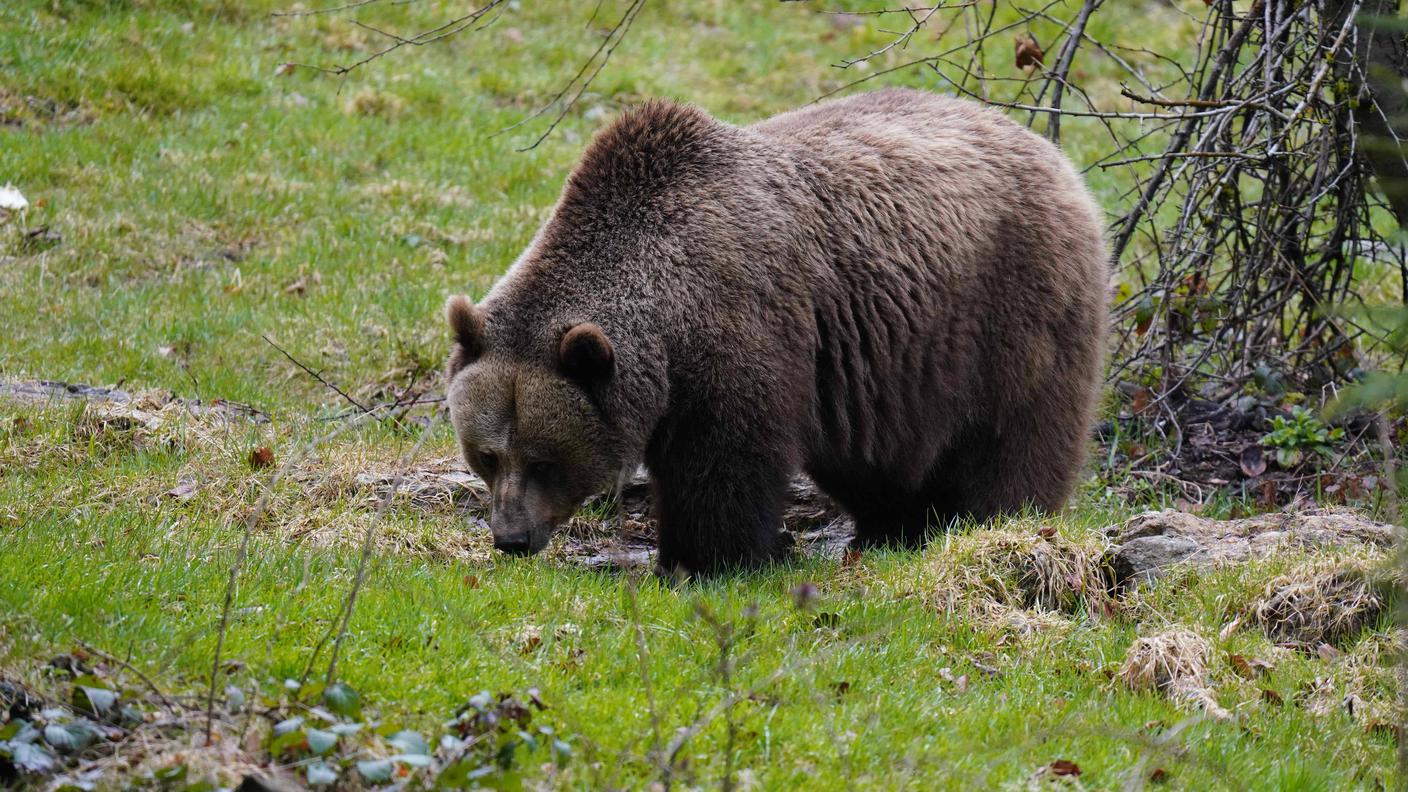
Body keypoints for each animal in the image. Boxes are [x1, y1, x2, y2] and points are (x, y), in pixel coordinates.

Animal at [444, 87, 1103, 572]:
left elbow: (726, 464)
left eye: (545, 461)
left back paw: (996, 519)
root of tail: (1046, 148)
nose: (511, 538)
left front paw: (706, 561)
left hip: (1013, 302)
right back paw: (893, 528)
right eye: (487, 455)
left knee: (1015, 430)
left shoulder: (739, 329)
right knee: (874, 457)